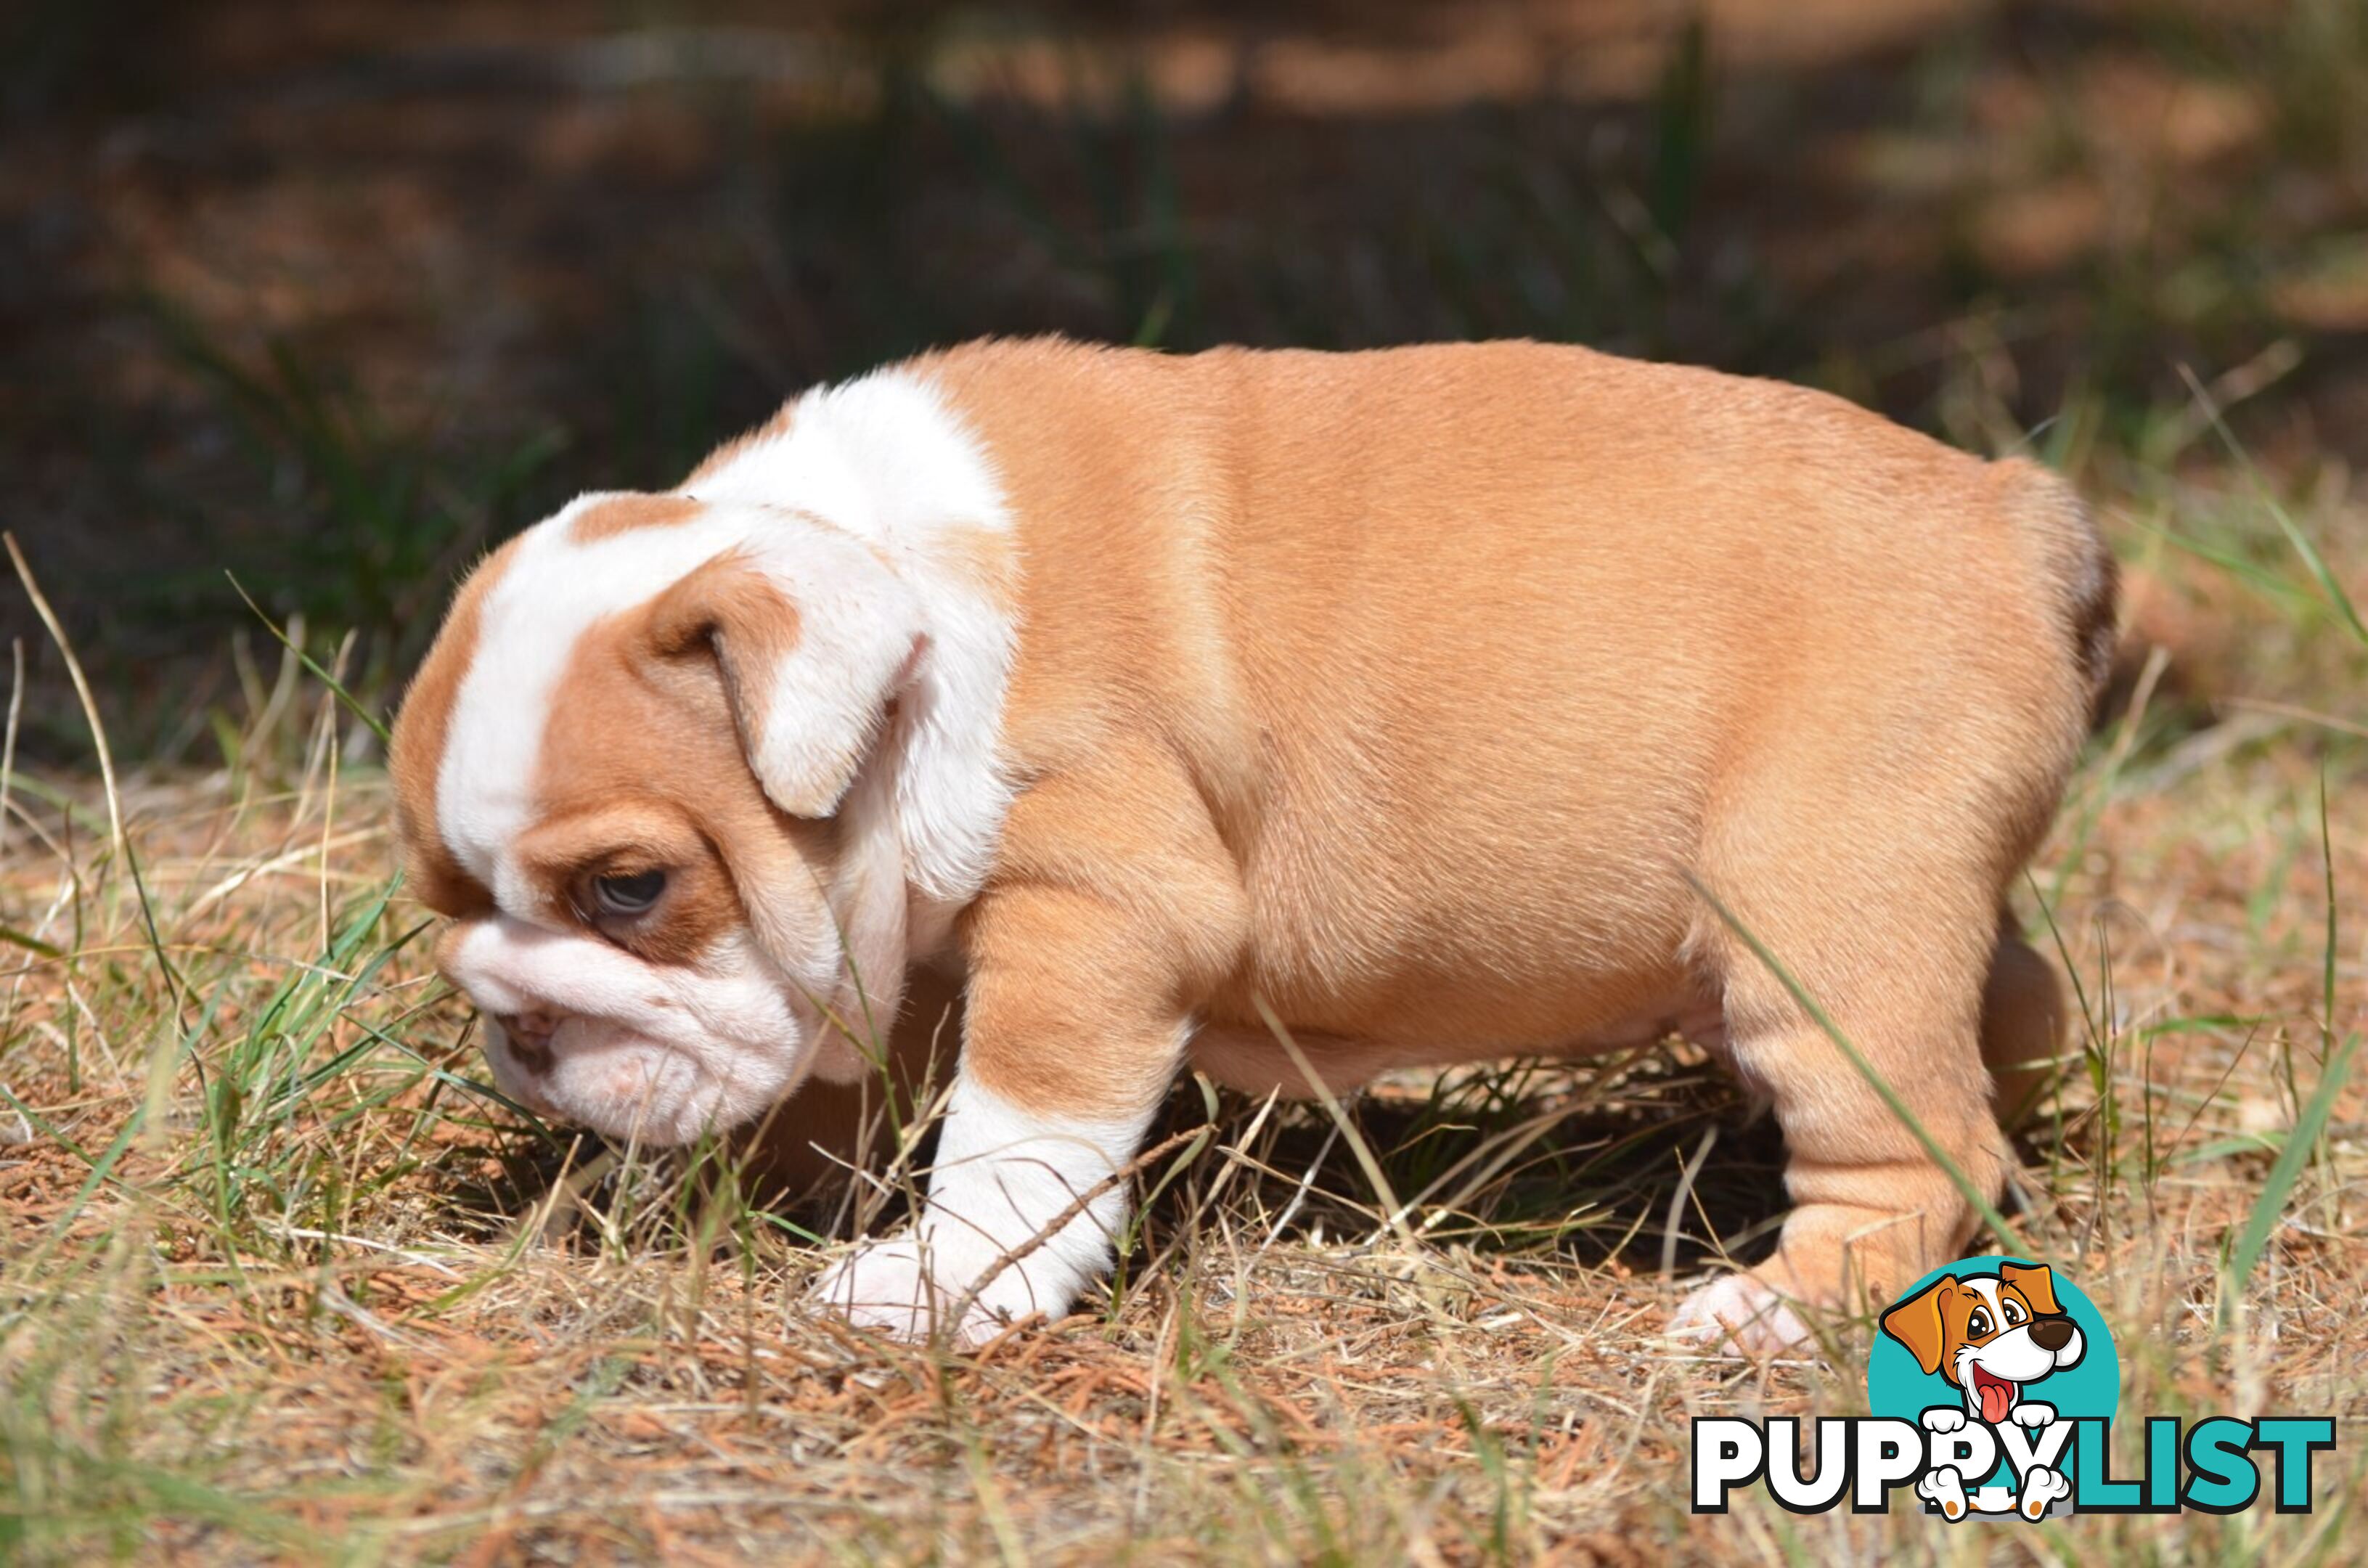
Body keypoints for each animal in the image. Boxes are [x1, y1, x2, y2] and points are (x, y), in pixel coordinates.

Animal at [383, 340, 2112, 1355]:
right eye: (451, 901)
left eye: (631, 889)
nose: (518, 1028)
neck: (903, 606)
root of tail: (2012, 513)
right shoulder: (918, 943)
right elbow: (856, 1071)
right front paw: (752, 1190)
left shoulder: (1093, 909)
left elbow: (1014, 1132)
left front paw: (939, 1280)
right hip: (1896, 908)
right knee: (2008, 1015)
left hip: (1812, 919)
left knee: (1912, 1139)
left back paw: (1775, 1310)